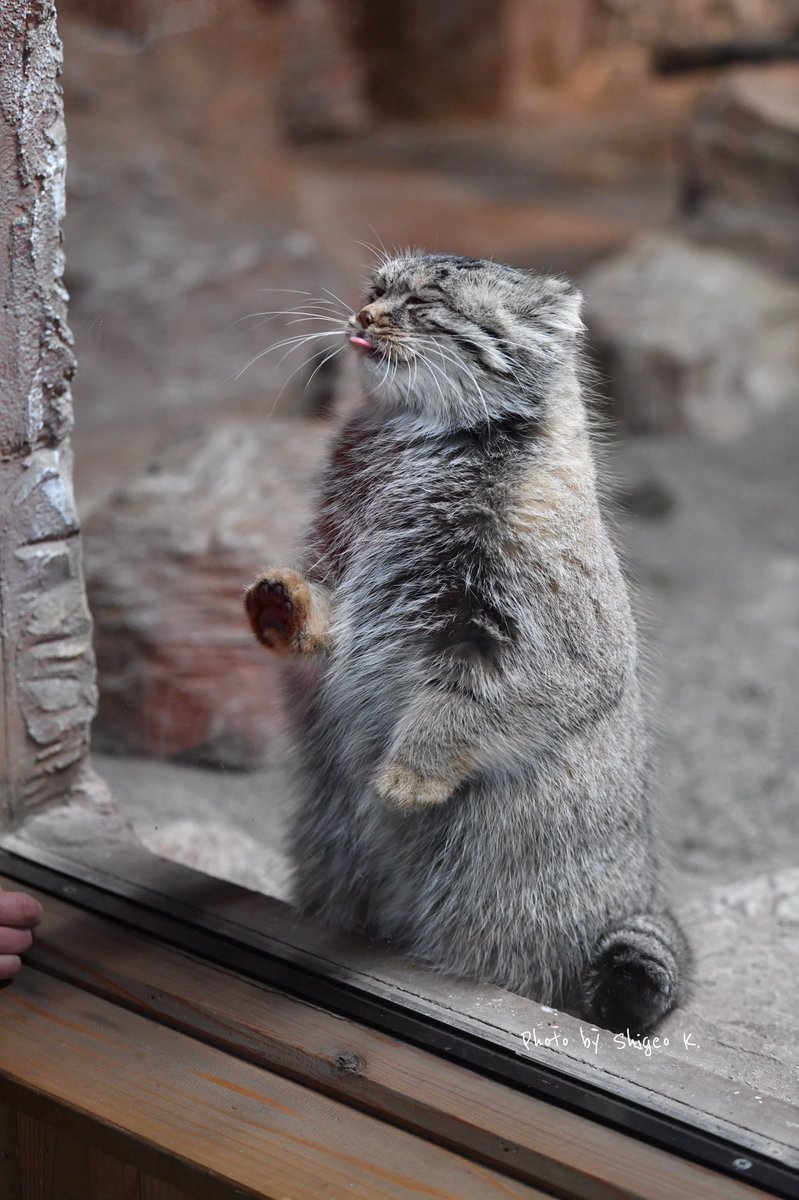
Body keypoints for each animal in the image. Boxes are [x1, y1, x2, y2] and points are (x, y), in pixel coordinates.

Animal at [245, 250, 686, 1032]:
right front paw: (284, 605)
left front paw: (409, 774)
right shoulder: (343, 570)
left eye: (424, 304)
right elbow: (325, 622)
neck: (412, 444)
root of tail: (644, 893)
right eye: (375, 289)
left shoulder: (559, 646)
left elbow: (465, 708)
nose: (360, 316)